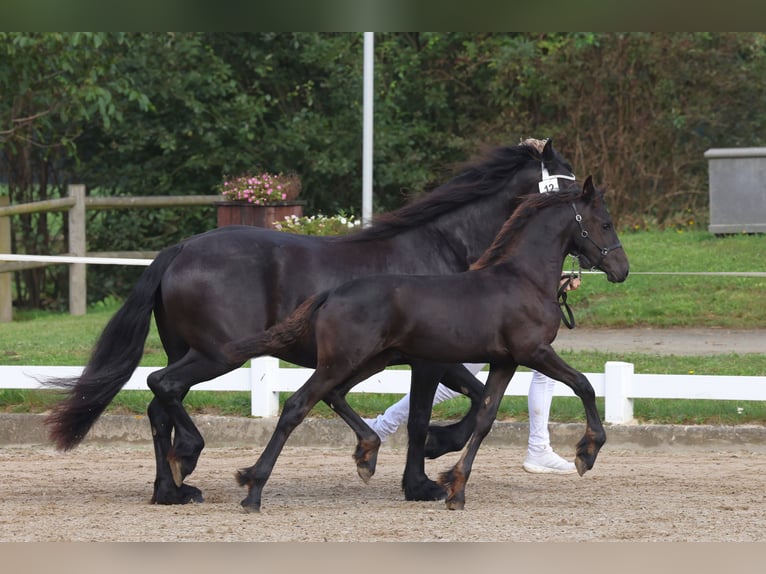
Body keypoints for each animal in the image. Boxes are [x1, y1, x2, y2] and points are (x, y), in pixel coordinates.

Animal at [46, 137, 576, 506]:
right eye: (569, 182)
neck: (444, 247)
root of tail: (179, 250)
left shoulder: (436, 357)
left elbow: (469, 398)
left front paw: (422, 459)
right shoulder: (428, 359)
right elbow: (428, 416)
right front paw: (422, 477)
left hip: (192, 352)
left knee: (159, 407)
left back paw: (171, 490)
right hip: (217, 355)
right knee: (163, 386)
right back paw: (189, 459)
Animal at [226, 178, 632, 516]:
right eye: (605, 223)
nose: (622, 269)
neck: (523, 280)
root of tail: (330, 293)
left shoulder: (505, 362)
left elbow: (484, 418)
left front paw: (454, 488)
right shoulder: (534, 352)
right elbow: (584, 384)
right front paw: (587, 452)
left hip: (371, 360)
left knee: (334, 395)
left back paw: (365, 456)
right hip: (342, 361)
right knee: (297, 406)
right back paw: (253, 489)